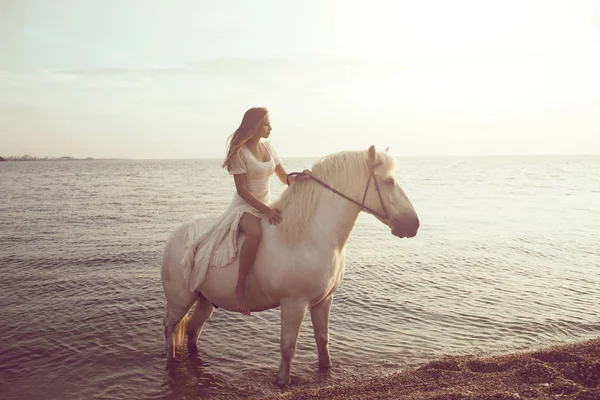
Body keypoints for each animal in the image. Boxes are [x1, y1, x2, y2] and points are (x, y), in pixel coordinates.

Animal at [162, 145, 420, 386]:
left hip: (206, 300)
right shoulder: (294, 304)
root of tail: (175, 236)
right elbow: (288, 348)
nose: (414, 225)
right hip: (180, 300)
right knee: (170, 329)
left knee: (193, 330)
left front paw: (325, 370)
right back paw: (171, 363)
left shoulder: (324, 301)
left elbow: (322, 340)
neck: (309, 236)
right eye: (389, 181)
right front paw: (282, 382)